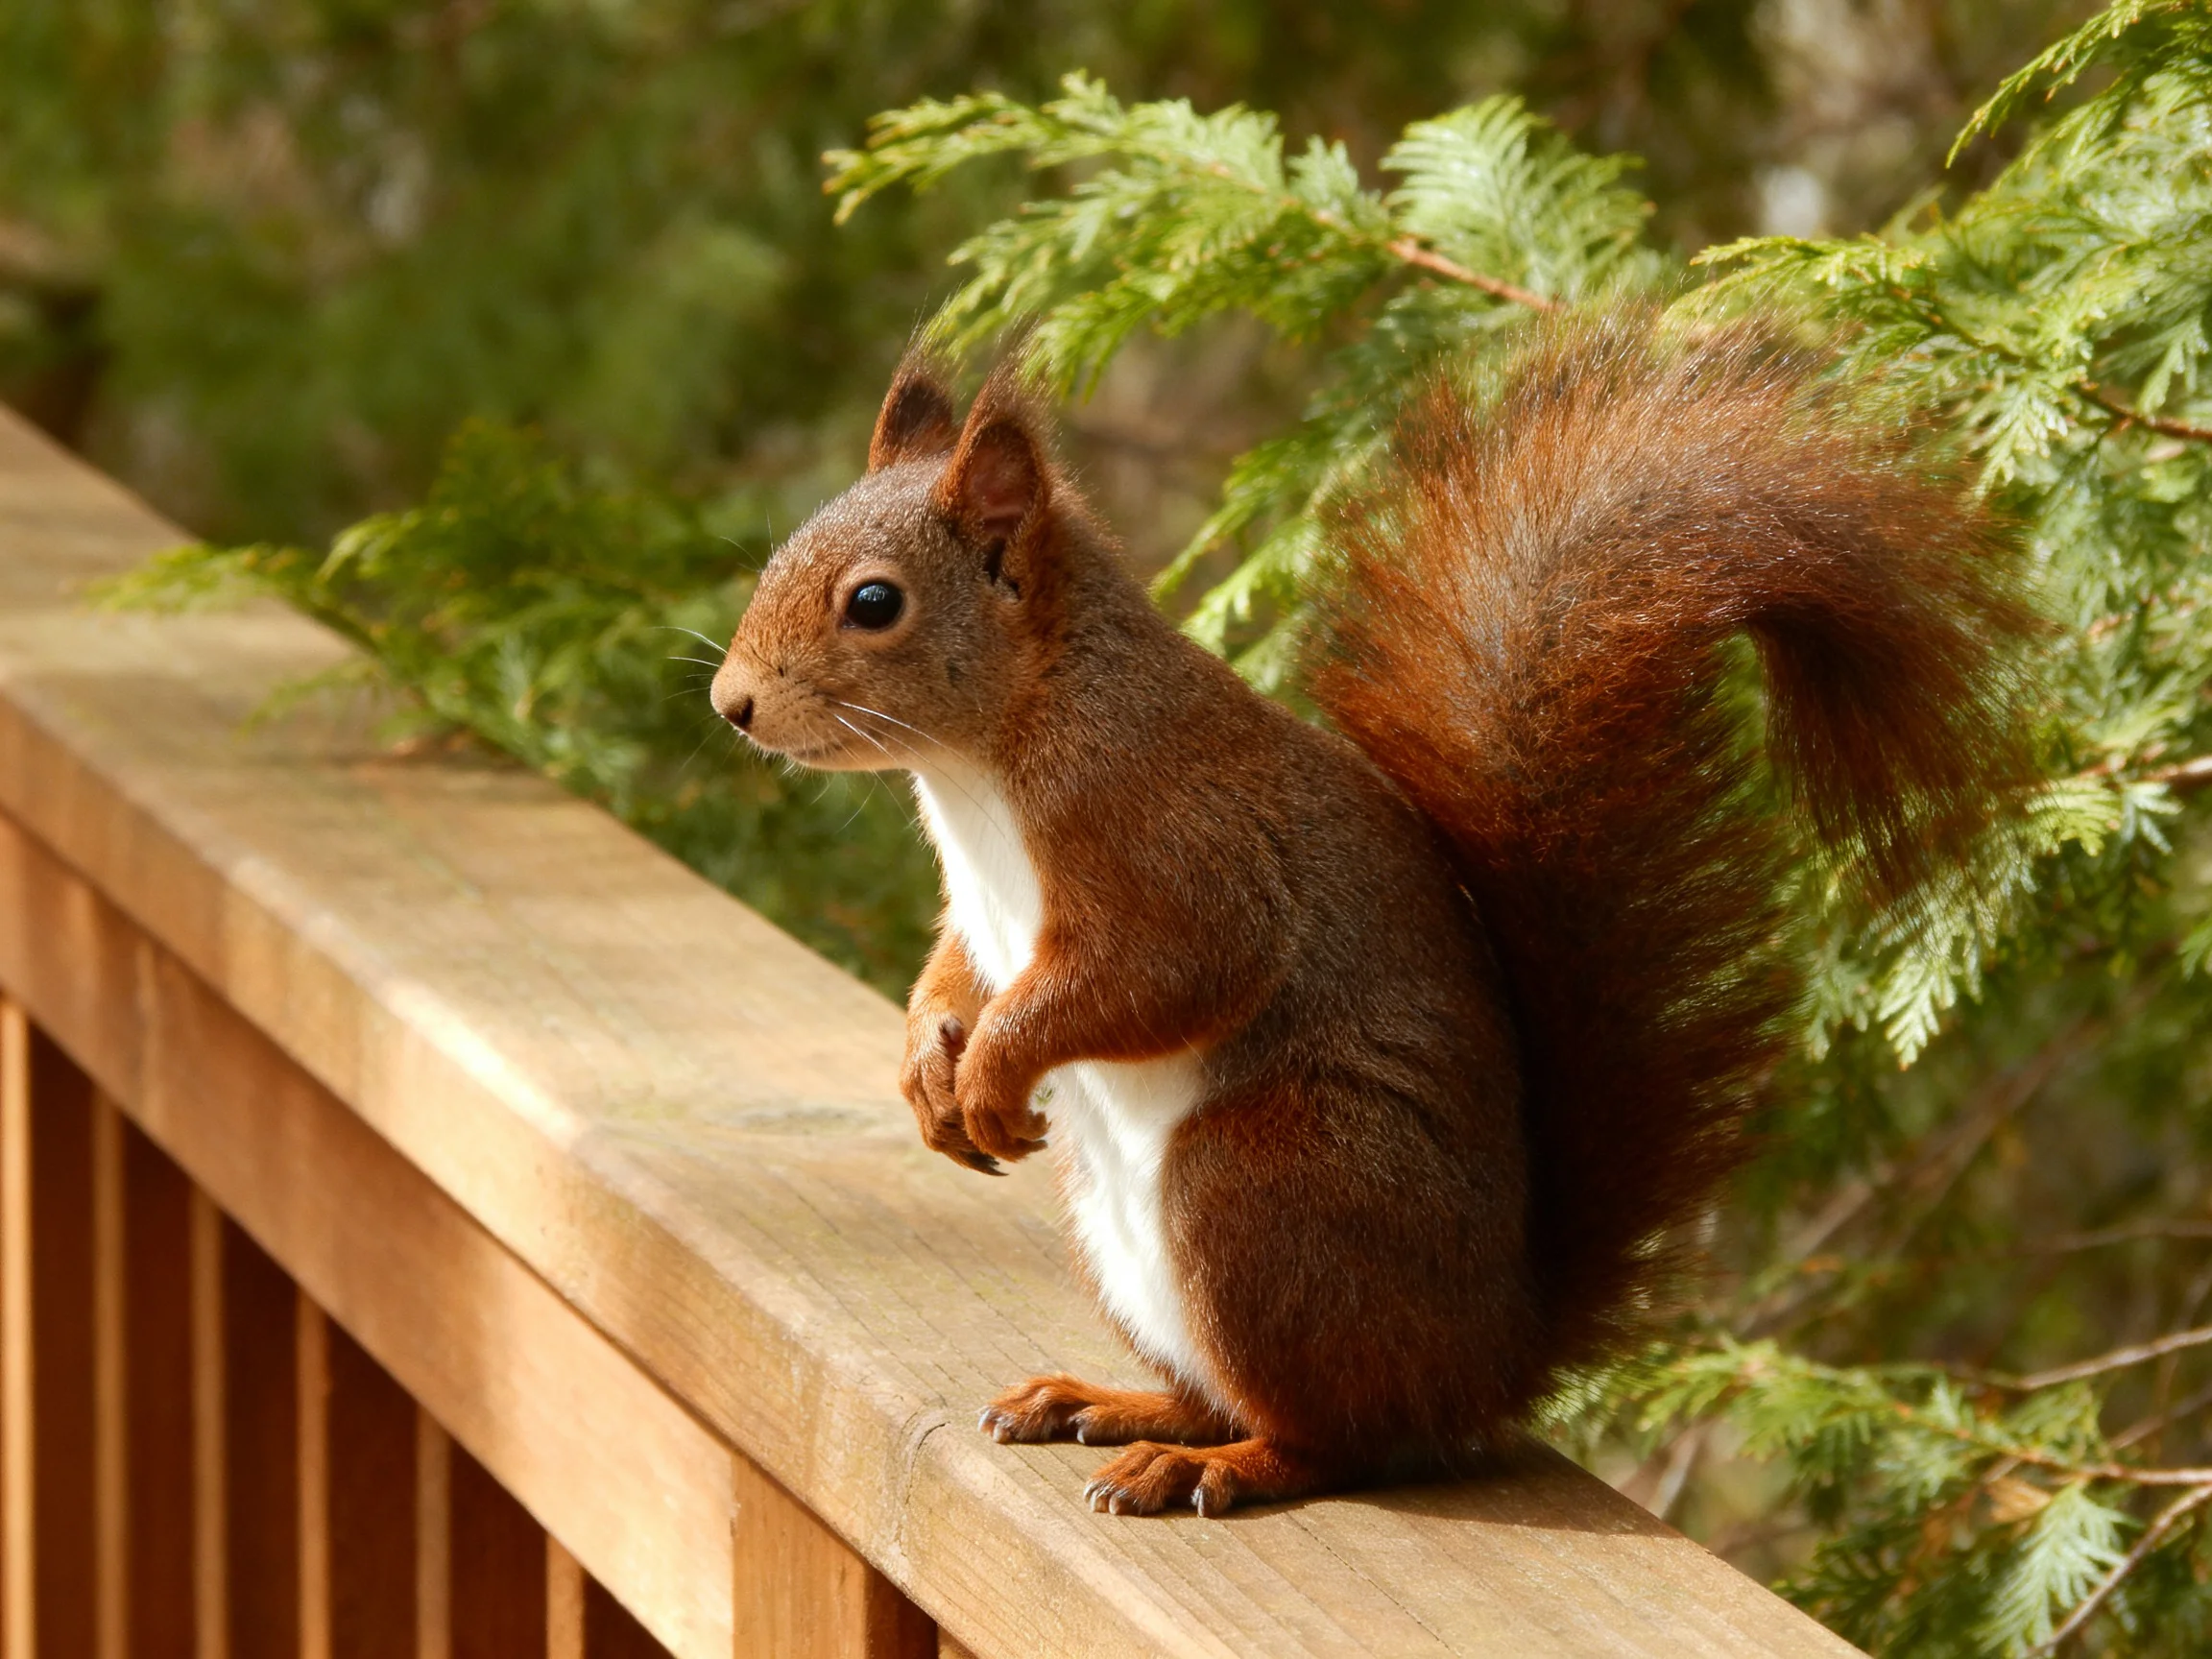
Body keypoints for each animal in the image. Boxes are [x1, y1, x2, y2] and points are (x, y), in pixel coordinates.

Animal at [710, 313, 2032, 1517]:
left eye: (872, 602)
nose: (730, 704)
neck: (985, 763)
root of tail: (1491, 1357)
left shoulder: (1177, 849)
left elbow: (1162, 972)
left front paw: (991, 1068)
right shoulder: (983, 912)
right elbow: (955, 971)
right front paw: (929, 1067)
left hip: (1265, 1186)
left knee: (1337, 1440)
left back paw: (1216, 1468)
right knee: (1224, 1393)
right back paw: (1110, 1404)